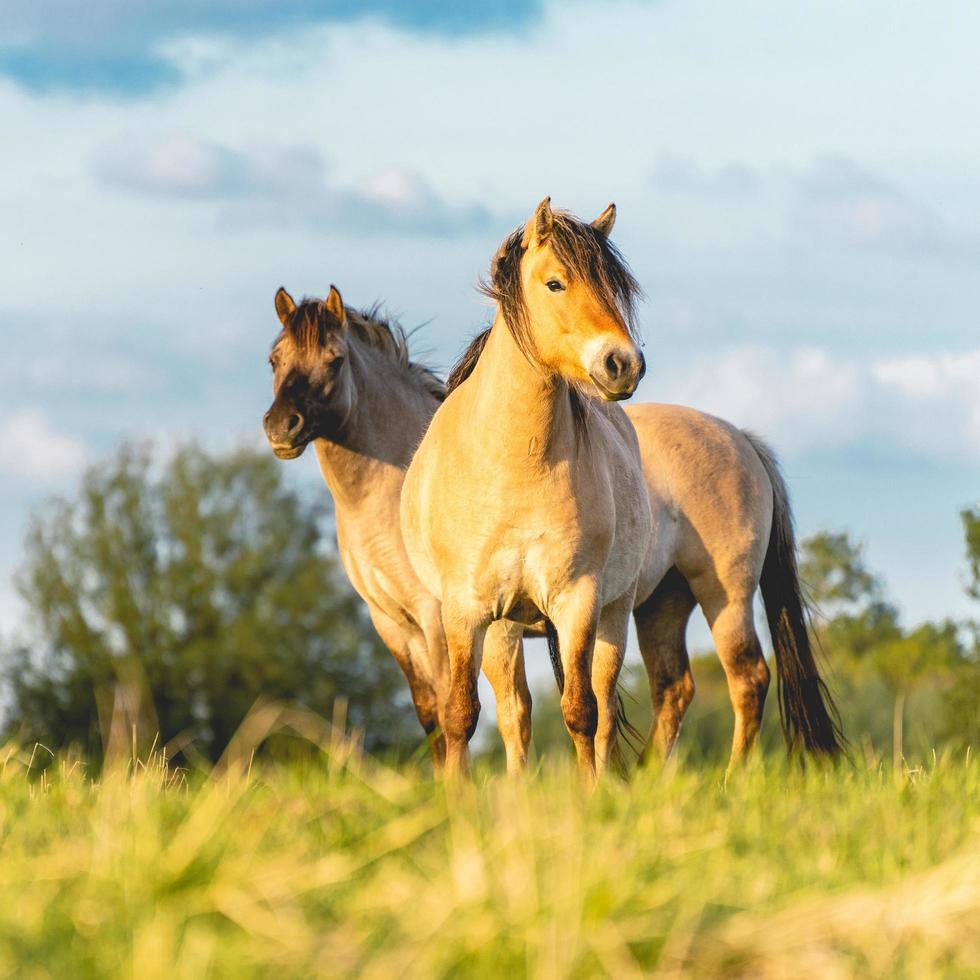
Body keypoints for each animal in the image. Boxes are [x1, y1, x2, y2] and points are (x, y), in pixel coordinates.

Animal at [398, 201, 652, 780]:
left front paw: (591, 793)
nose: (623, 364)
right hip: (504, 629)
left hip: (613, 613)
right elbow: (462, 715)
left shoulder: (578, 602)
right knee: (515, 713)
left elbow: (581, 711)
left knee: (603, 705)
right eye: (555, 282)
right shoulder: (466, 611)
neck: (514, 466)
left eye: (614, 286)